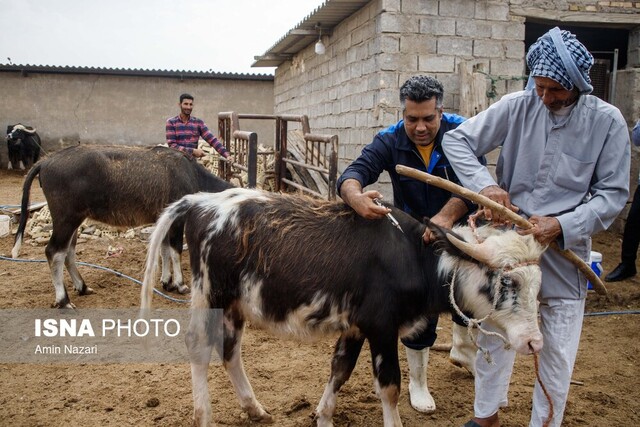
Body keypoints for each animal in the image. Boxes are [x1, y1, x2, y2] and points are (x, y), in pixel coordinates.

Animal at [12, 145, 234, 310]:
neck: (192, 174)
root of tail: (45, 161)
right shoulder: (177, 221)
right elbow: (175, 250)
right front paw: (180, 284)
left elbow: (163, 250)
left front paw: (167, 281)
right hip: (66, 219)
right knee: (54, 252)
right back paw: (63, 300)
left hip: (73, 221)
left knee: (68, 252)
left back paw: (82, 287)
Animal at [142, 190, 548, 427]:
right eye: (507, 282)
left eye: (537, 285)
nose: (534, 342)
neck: (414, 256)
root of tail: (200, 202)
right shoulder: (381, 328)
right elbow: (389, 387)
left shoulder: (355, 327)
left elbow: (340, 369)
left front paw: (322, 416)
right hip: (210, 294)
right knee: (199, 347)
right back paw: (204, 416)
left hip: (235, 305)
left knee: (229, 351)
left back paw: (254, 408)